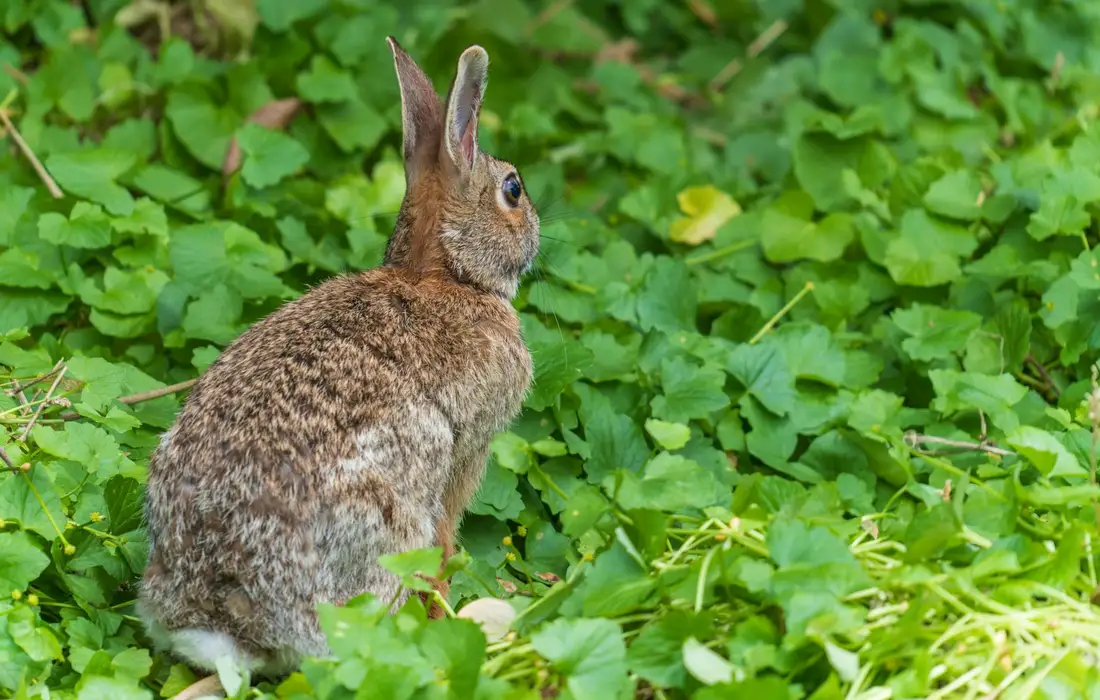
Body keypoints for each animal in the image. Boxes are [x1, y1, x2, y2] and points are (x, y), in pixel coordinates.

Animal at [138, 37, 539, 680]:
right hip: (387, 530)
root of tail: (225, 618)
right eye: (513, 189)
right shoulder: (466, 452)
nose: (536, 229)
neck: (445, 273)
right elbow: (448, 541)